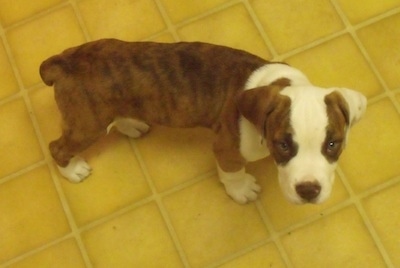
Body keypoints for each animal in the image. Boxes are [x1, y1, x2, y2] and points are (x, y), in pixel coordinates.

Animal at [39, 38, 366, 204]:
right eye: (282, 145)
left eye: (333, 144)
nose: (308, 191)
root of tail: (63, 62)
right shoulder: (227, 148)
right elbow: (232, 172)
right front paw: (241, 190)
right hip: (86, 124)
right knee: (57, 146)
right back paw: (73, 169)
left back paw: (131, 123)